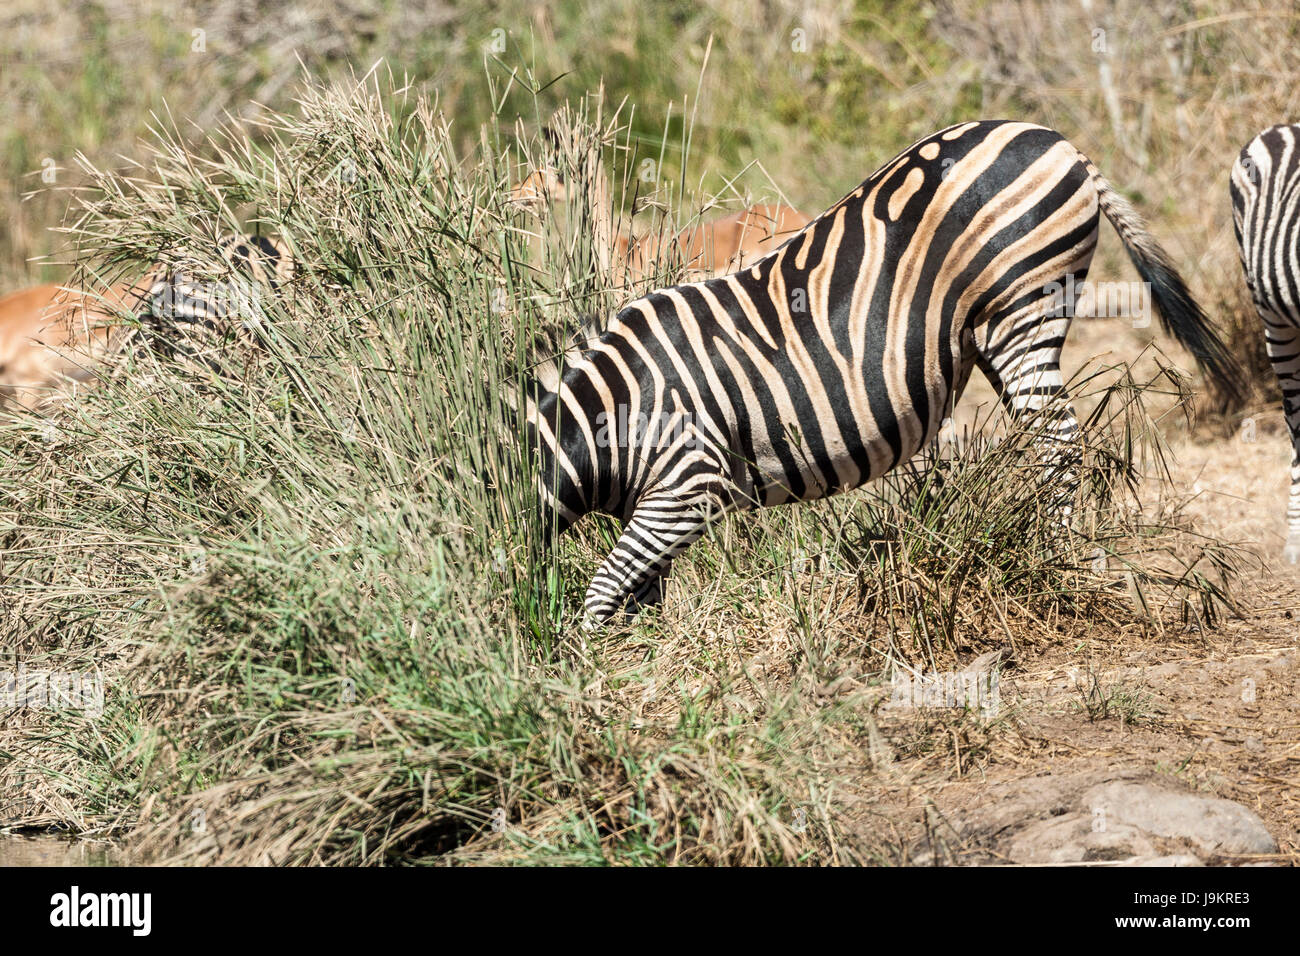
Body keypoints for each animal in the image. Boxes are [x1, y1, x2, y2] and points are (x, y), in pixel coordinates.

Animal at [528, 120, 1244, 627]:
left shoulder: (686, 482)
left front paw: (601, 666)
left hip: (1023, 303)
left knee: (1060, 445)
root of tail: (1054, 139)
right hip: (999, 330)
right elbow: (641, 590)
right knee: (1047, 439)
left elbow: (604, 590)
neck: (610, 414)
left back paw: (1057, 563)